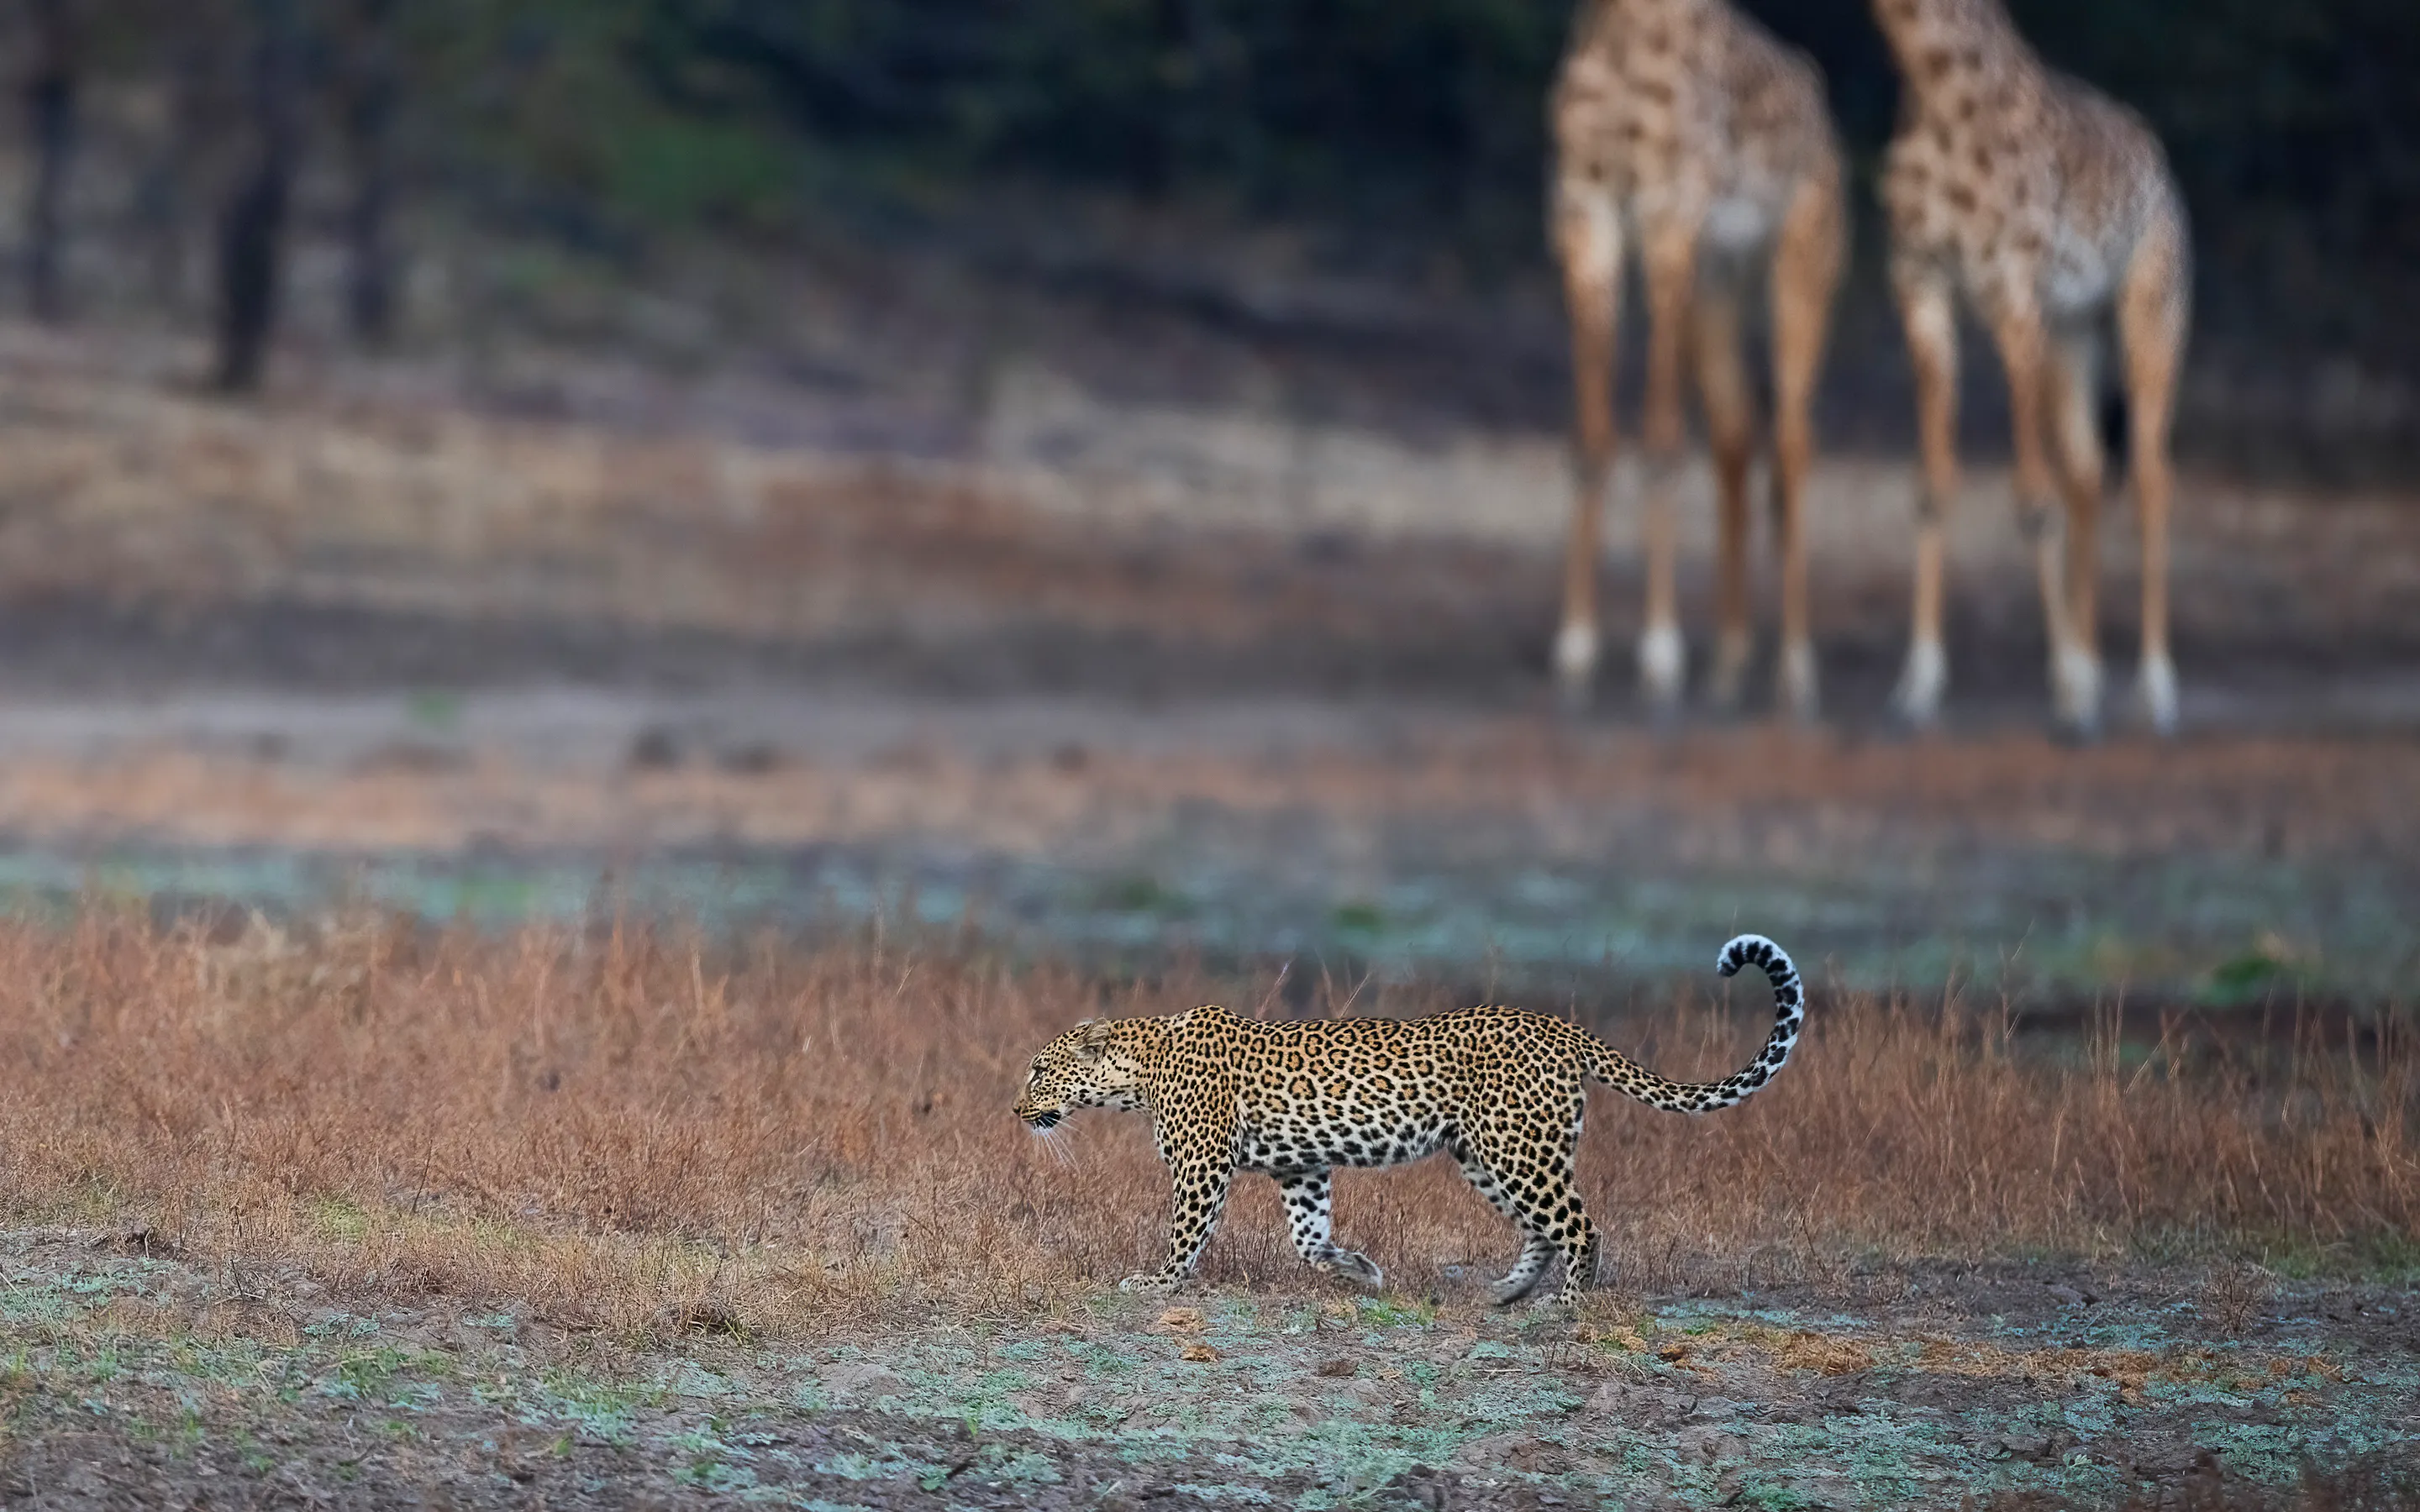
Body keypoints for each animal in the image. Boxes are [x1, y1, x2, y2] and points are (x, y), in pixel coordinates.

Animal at [1012, 933, 1805, 1306]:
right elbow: (1308, 1240)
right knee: (1541, 1232)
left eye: (1040, 1071)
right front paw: (1361, 1271)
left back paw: (1570, 1307)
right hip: (1487, 1156)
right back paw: (1507, 1294)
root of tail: (1562, 1027)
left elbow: (1185, 1234)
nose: (1017, 1110)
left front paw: (1157, 1286)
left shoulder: (1203, 1165)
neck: (1138, 1071)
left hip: (1519, 1151)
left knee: (1580, 1227)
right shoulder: (1302, 1167)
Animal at [1549, 0, 1844, 720]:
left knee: (1793, 443)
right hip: (1717, 286)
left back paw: (1795, 672)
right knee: (1736, 431)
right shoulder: (1585, 210)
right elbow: (1590, 441)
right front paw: (1576, 654)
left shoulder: (1666, 214)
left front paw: (1660, 660)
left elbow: (1659, 440)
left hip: (1801, 265)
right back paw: (1730, 665)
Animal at [1872, 0, 2190, 737]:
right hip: (2071, 333)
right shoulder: (1920, 286)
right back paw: (2095, 667)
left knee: (2152, 478)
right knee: (2088, 471)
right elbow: (1932, 485)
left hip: (2151, 311)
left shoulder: (2012, 295)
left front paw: (2070, 692)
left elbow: (2033, 501)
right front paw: (1918, 684)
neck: (1935, 83)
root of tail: (2160, 166)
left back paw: (2155, 690)